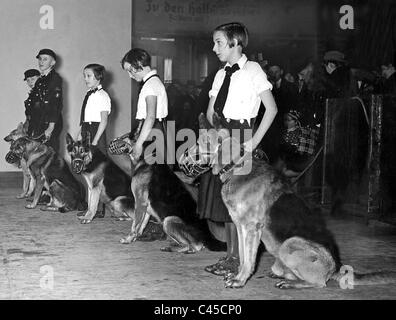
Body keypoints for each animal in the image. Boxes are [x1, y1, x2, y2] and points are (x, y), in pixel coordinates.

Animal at [184, 113, 396, 290]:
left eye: (200, 143)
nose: (182, 160)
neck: (236, 166)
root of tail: (336, 267)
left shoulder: (251, 229)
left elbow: (248, 259)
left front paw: (240, 280)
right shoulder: (240, 227)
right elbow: (243, 256)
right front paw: (238, 275)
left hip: (290, 243)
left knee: (319, 283)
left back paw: (291, 283)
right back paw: (282, 275)